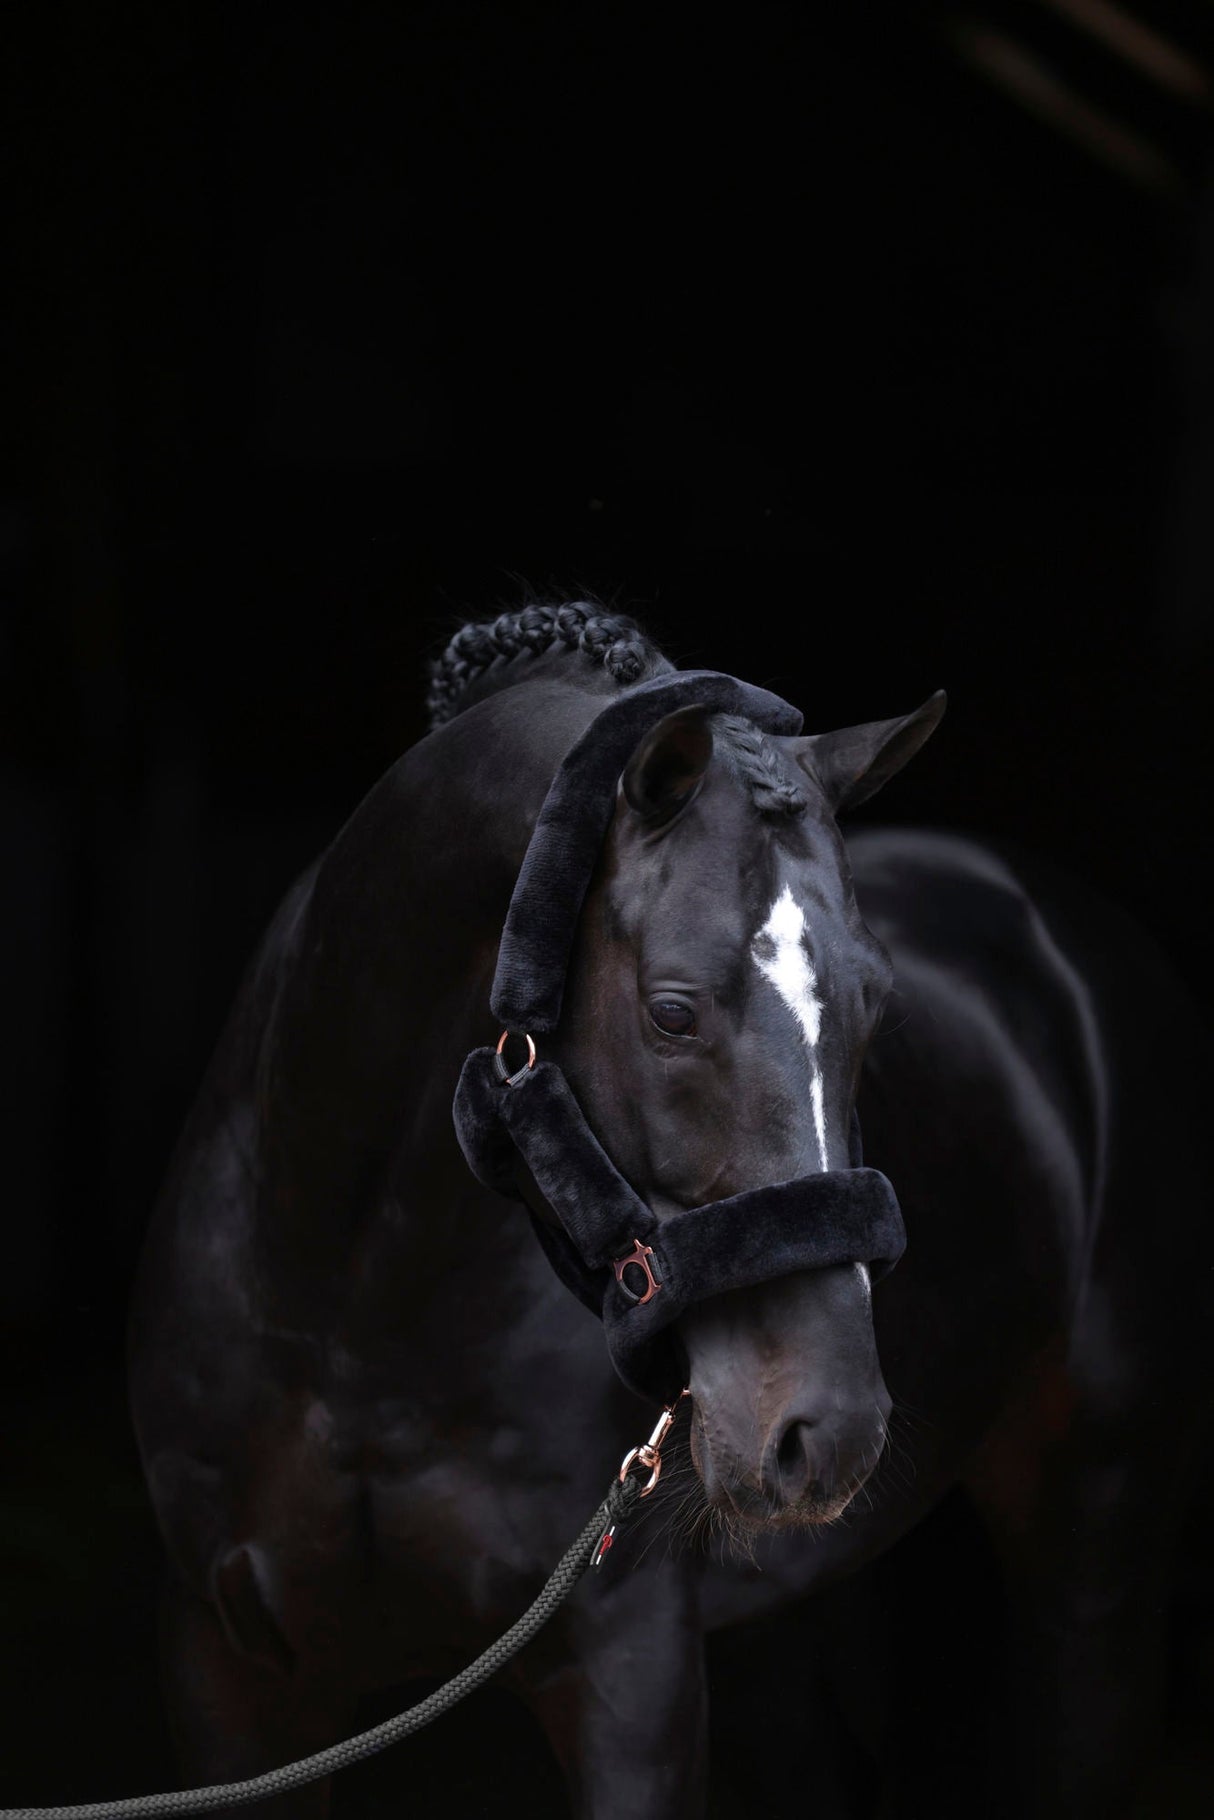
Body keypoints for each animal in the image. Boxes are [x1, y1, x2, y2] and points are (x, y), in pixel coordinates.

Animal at [128, 602, 1210, 1819]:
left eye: (875, 1005)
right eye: (673, 1012)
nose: (826, 1430)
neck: (347, 1311)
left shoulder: (625, 1667)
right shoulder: (229, 1673)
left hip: (1097, 1542)